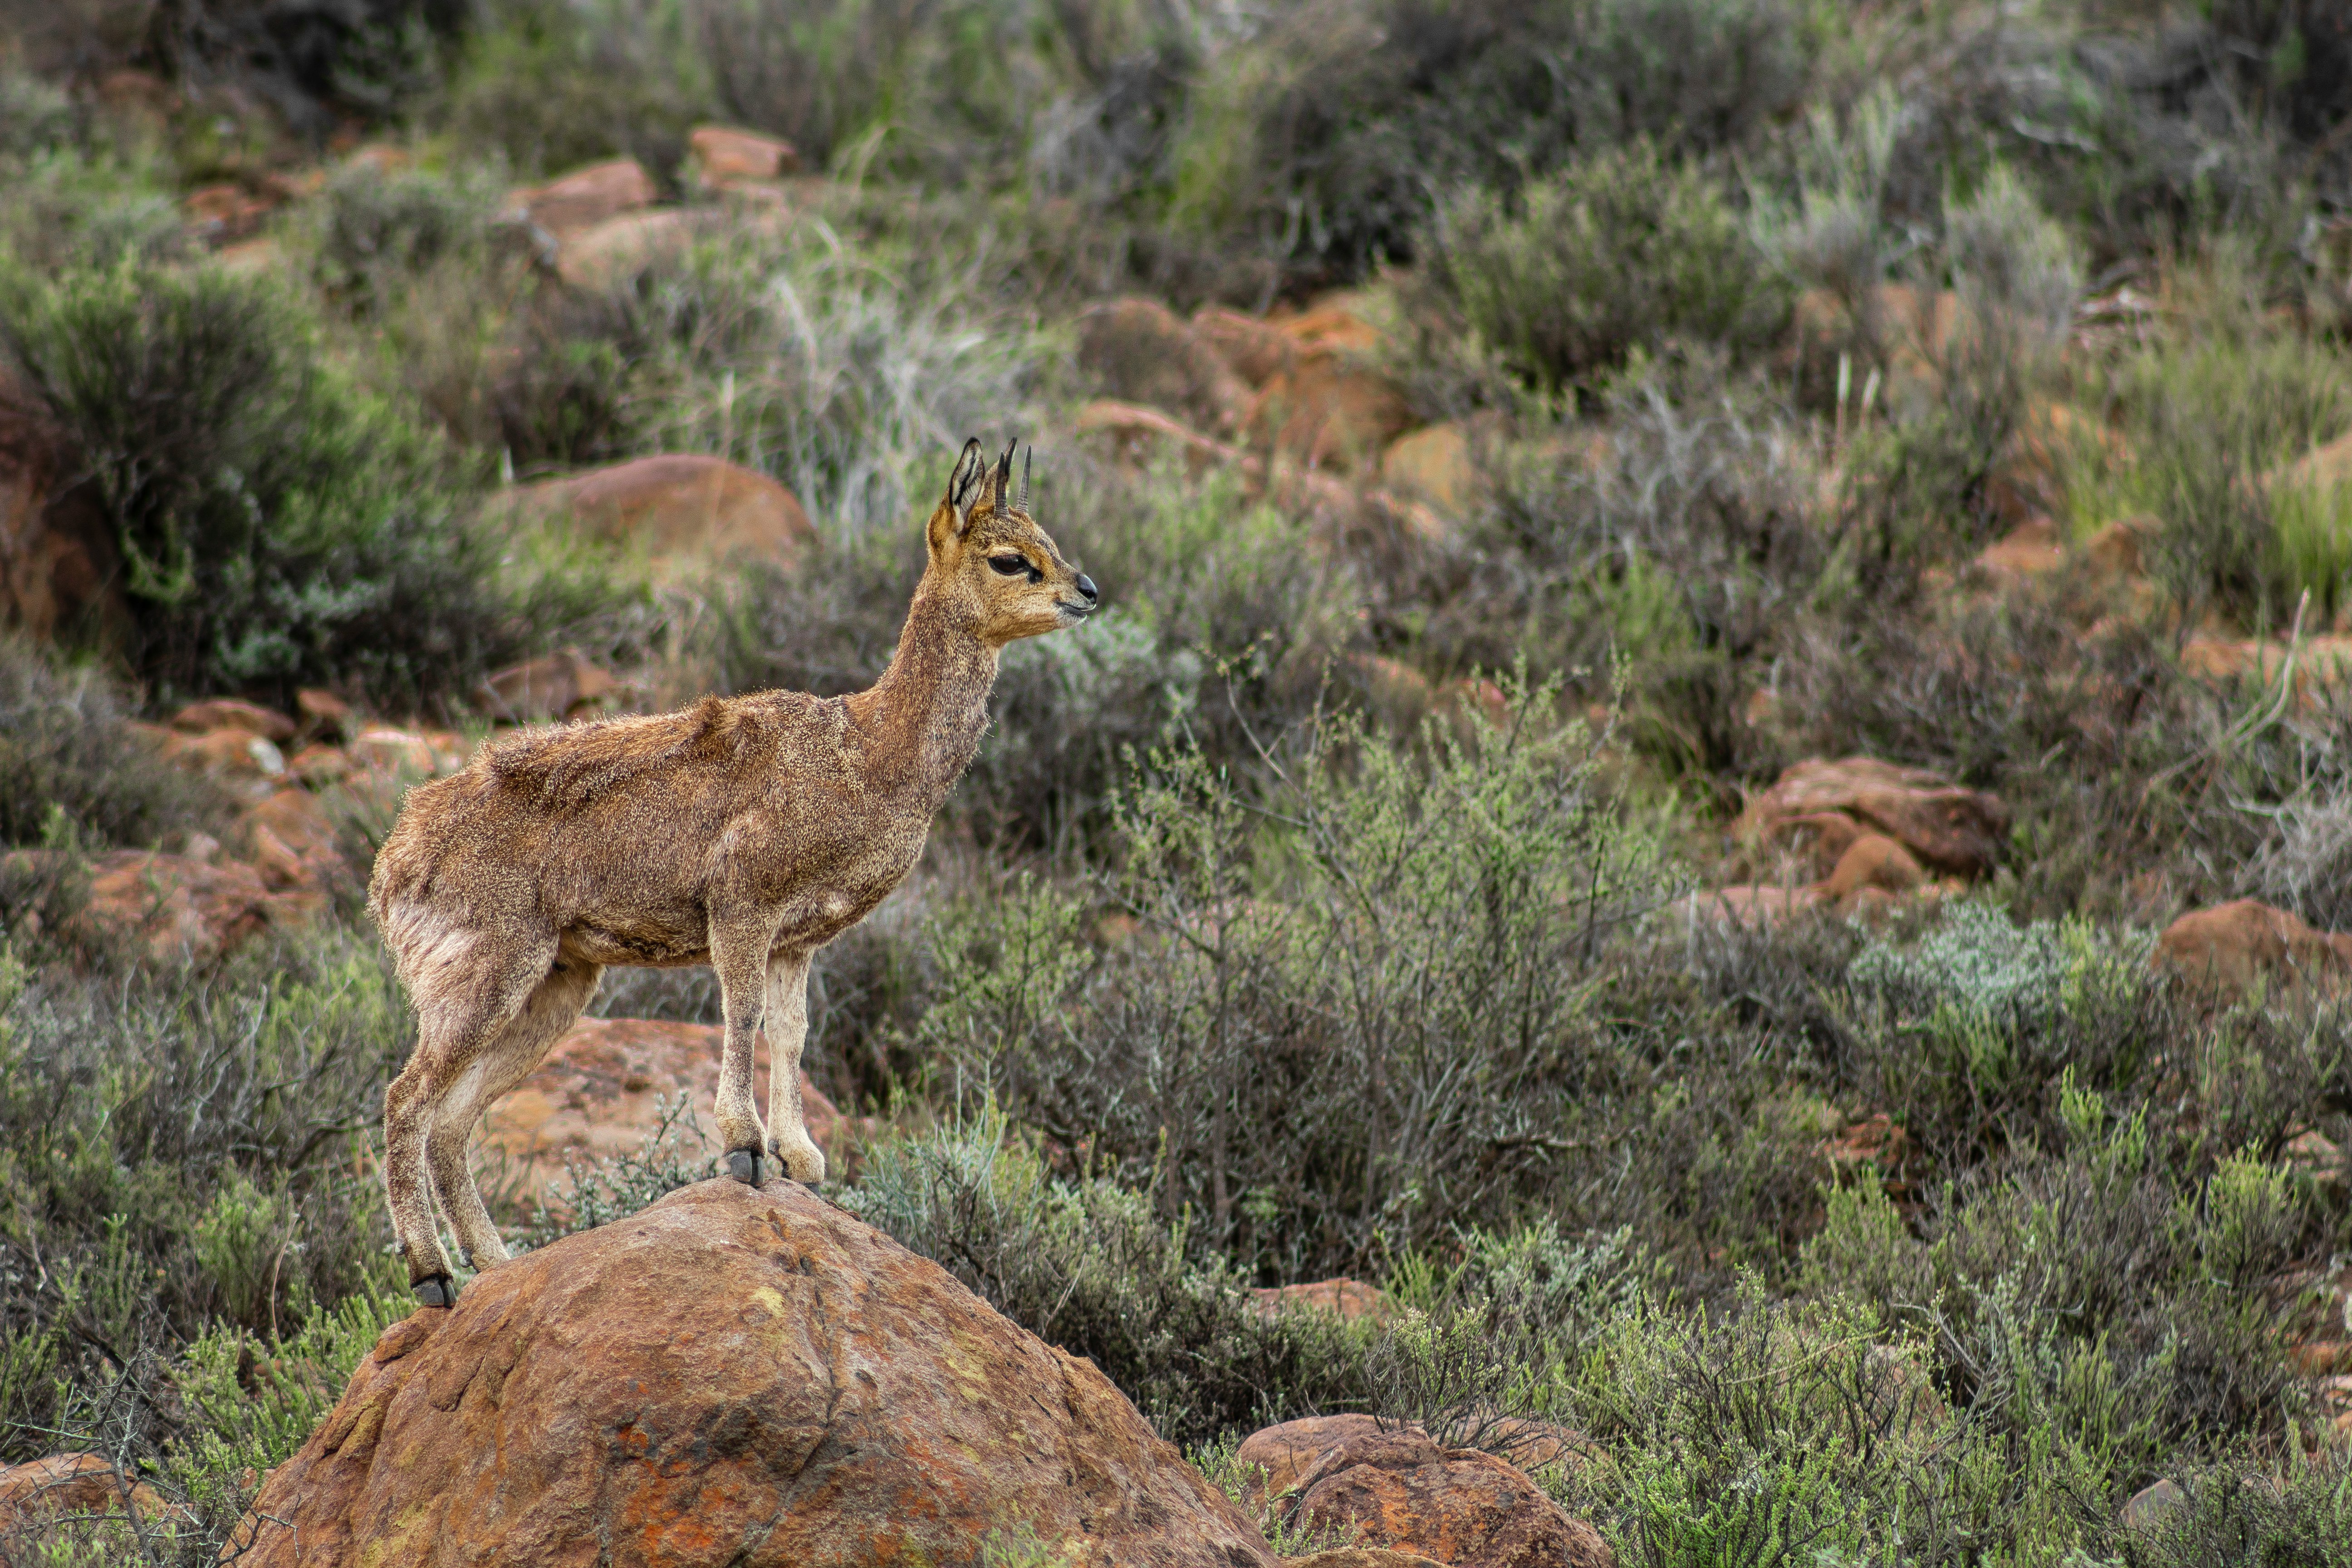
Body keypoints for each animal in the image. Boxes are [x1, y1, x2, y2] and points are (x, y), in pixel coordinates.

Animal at [369, 435, 1101, 1307]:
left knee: (451, 1122)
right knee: (406, 1100)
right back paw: (431, 1273)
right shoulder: (743, 903)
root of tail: (394, 863)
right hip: (484, 976)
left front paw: (800, 1157)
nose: (1088, 591)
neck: (869, 754)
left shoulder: (800, 938)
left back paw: (500, 1265)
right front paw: (745, 1148)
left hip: (556, 986)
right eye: (1008, 557)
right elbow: (743, 1013)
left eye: (1047, 537)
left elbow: (792, 1031)